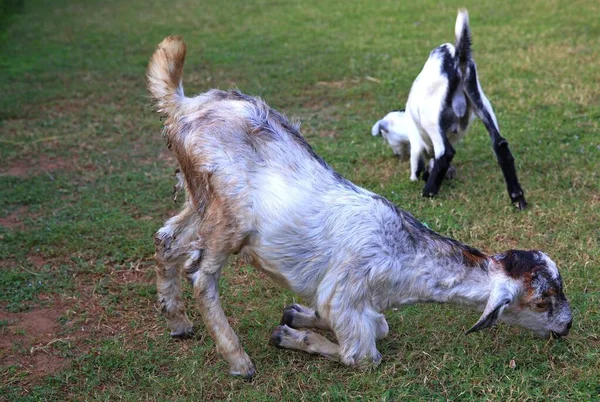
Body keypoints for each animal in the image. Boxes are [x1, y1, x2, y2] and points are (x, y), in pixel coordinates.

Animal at [146, 34, 572, 376]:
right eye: (541, 301)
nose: (567, 325)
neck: (399, 260)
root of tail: (184, 105)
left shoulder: (358, 305)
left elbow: (378, 325)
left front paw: (299, 315)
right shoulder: (345, 300)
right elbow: (362, 356)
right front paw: (288, 334)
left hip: (198, 197)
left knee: (167, 238)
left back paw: (178, 323)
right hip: (229, 216)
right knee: (201, 275)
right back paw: (238, 361)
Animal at [372, 9, 528, 210]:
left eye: (385, 137)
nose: (396, 155)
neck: (405, 119)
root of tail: (457, 58)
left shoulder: (416, 140)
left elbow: (418, 163)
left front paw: (417, 178)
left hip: (432, 120)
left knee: (445, 153)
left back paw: (428, 192)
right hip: (481, 103)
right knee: (500, 145)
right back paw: (517, 197)